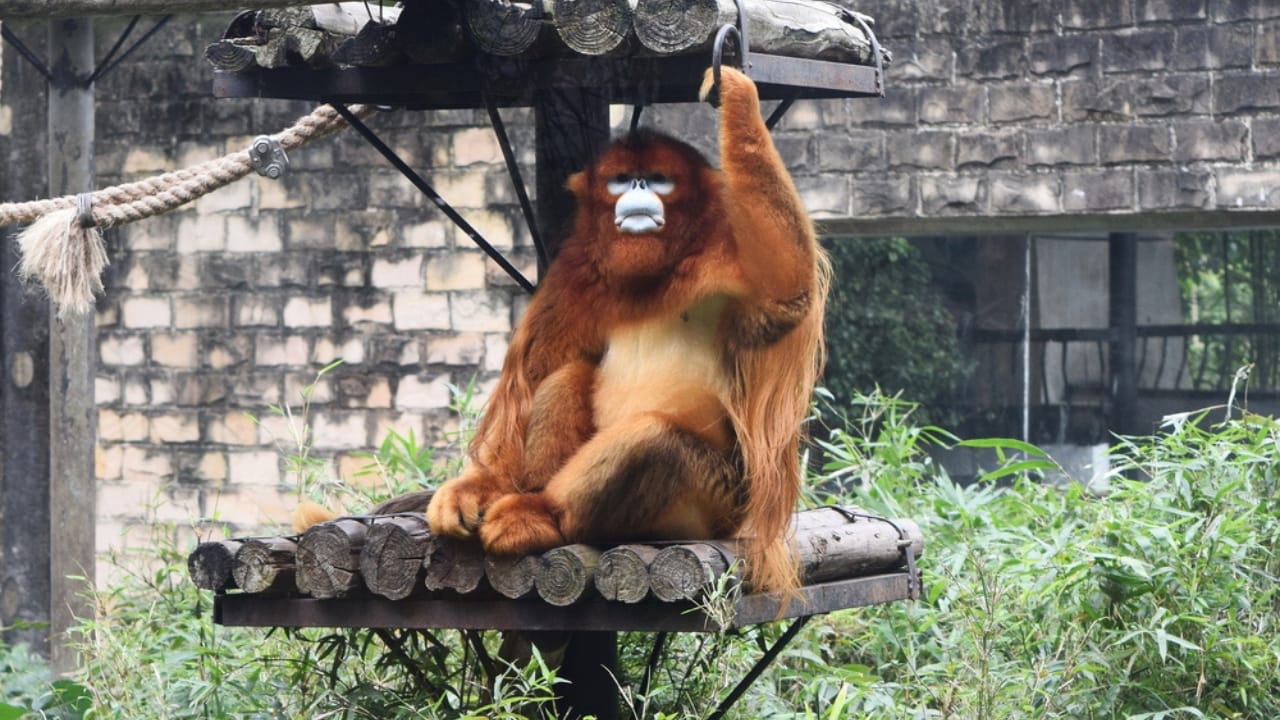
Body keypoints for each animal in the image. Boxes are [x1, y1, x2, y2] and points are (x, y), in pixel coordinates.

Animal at [419, 65, 829, 595]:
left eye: (658, 179)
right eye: (619, 180)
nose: (637, 190)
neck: (653, 276)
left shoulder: (727, 260)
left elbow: (788, 290)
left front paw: (737, 98)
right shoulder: (575, 273)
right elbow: (535, 376)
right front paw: (477, 486)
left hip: (712, 504)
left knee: (652, 441)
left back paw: (543, 515)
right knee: (567, 376)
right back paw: (527, 501)